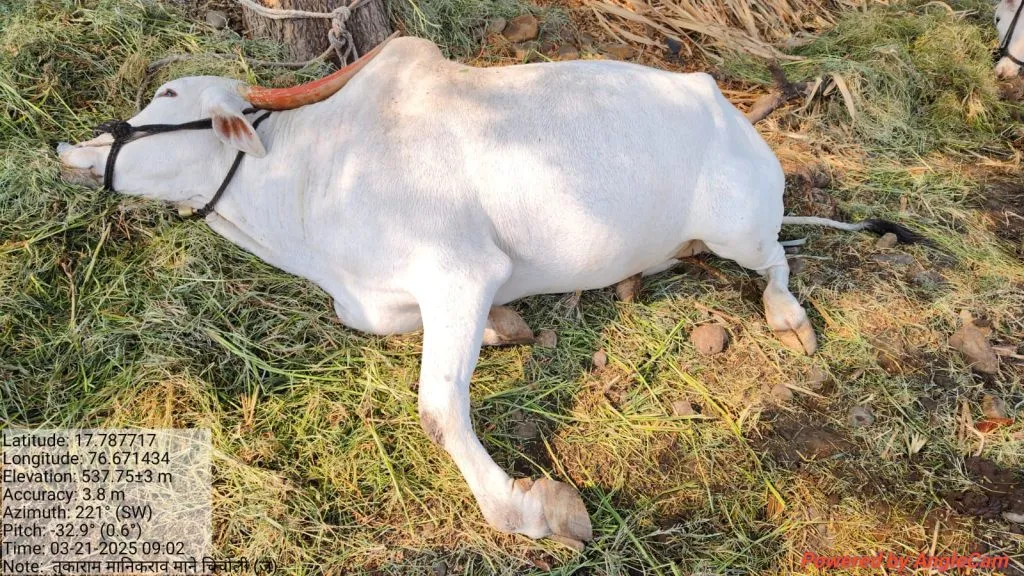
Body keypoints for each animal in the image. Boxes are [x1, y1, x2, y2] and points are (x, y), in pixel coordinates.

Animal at [57, 35, 917, 547]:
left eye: (171, 98)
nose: (73, 146)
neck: (312, 178)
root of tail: (729, 113)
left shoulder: (459, 271)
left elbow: (439, 411)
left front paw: (527, 509)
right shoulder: (379, 299)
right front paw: (508, 328)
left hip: (742, 225)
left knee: (775, 259)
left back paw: (785, 313)